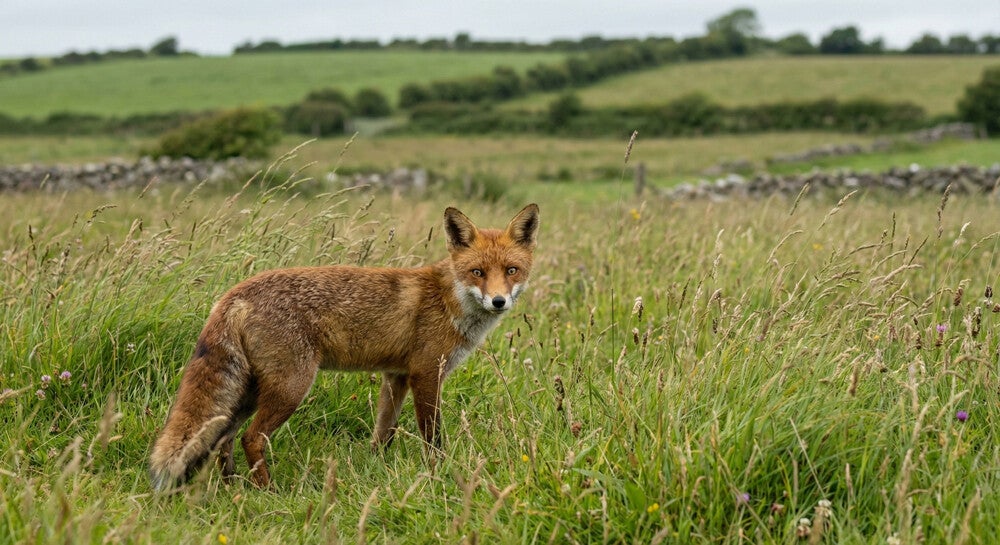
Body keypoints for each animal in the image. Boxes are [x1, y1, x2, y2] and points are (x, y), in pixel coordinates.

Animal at [149, 204, 539, 491]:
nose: (499, 301)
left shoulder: (396, 377)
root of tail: (234, 294)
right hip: (290, 388)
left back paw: (233, 488)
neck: (448, 300)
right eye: (477, 272)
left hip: (248, 393)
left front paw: (377, 471)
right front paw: (437, 474)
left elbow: (383, 433)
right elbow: (432, 437)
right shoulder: (427, 373)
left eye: (512, 270)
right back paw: (267, 492)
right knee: (250, 438)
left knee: (222, 437)